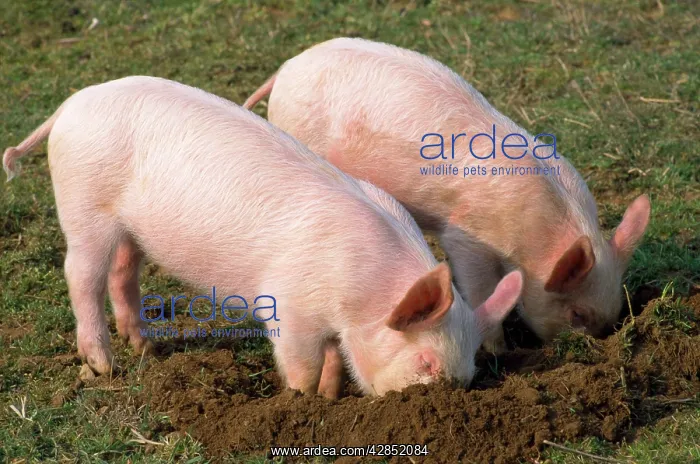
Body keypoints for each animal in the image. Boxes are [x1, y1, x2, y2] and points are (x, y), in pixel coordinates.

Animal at [3, 76, 523, 397]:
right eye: (427, 363)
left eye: (470, 368)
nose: (437, 399)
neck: (363, 290)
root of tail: (70, 106)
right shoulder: (290, 309)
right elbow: (300, 363)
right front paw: (302, 400)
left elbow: (333, 358)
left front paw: (331, 395)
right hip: (83, 205)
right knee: (80, 275)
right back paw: (103, 366)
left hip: (128, 227)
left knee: (122, 271)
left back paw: (146, 349)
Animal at [243, 38, 652, 353]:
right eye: (577, 314)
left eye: (615, 311)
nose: (594, 345)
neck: (536, 237)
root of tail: (286, 68)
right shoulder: (466, 235)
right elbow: (480, 288)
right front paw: (500, 351)